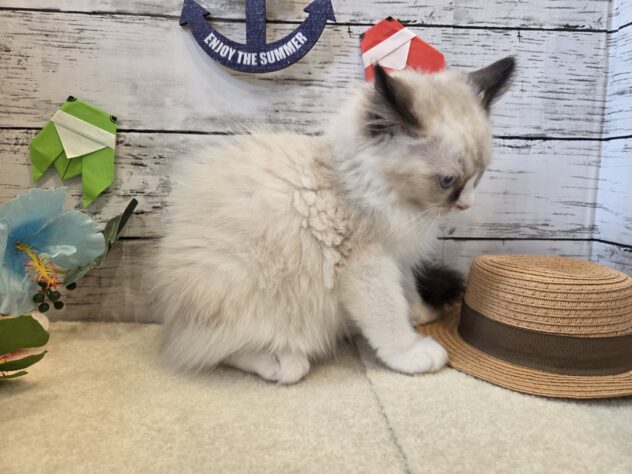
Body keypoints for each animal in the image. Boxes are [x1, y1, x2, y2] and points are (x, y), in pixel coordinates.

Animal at [154, 57, 515, 384]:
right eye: (447, 181)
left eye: (479, 176)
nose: (466, 205)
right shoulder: (366, 266)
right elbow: (388, 313)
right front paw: (411, 351)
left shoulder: (397, 256)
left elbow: (408, 290)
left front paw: (421, 314)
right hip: (240, 284)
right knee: (214, 350)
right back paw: (279, 361)